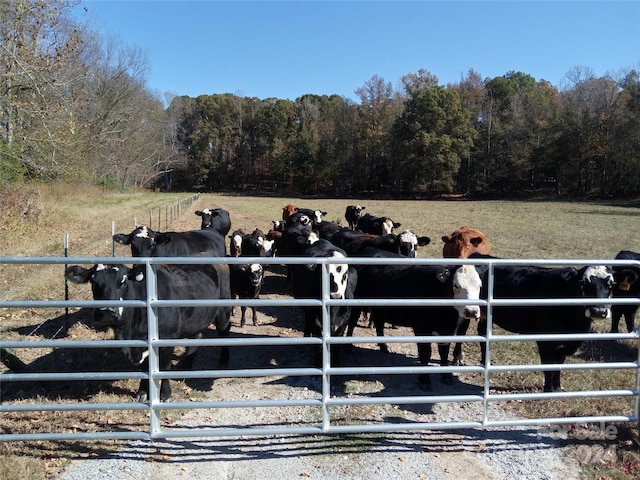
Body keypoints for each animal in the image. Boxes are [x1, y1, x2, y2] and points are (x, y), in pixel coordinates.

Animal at [350, 248, 480, 390]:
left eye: (479, 286)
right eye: (456, 285)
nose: (472, 311)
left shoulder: (448, 330)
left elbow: (444, 352)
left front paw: (446, 376)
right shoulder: (421, 328)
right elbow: (425, 353)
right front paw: (424, 380)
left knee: (379, 324)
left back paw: (384, 347)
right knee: (351, 323)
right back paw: (349, 347)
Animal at [470, 253, 616, 392]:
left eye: (610, 285)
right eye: (583, 283)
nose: (598, 311)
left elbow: (558, 367)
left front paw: (557, 389)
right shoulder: (545, 341)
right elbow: (549, 368)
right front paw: (548, 390)